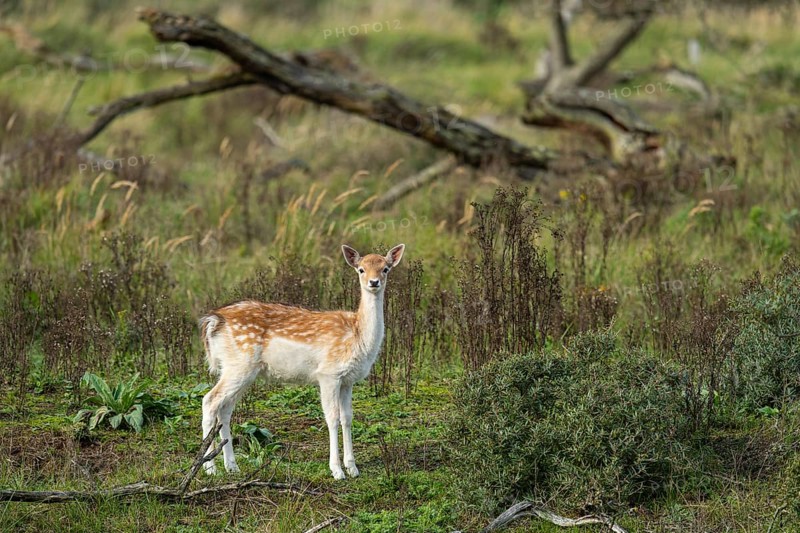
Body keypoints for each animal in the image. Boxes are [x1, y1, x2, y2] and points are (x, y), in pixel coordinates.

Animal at [198, 244, 405, 480]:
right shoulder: (328, 374)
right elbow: (332, 418)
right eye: (361, 269)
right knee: (210, 400)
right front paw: (336, 470)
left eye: (386, 268)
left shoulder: (348, 380)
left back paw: (232, 466)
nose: (374, 282)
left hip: (240, 369)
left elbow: (347, 418)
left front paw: (353, 468)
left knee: (225, 409)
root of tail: (213, 321)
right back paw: (209, 468)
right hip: (239, 364)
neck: (357, 336)